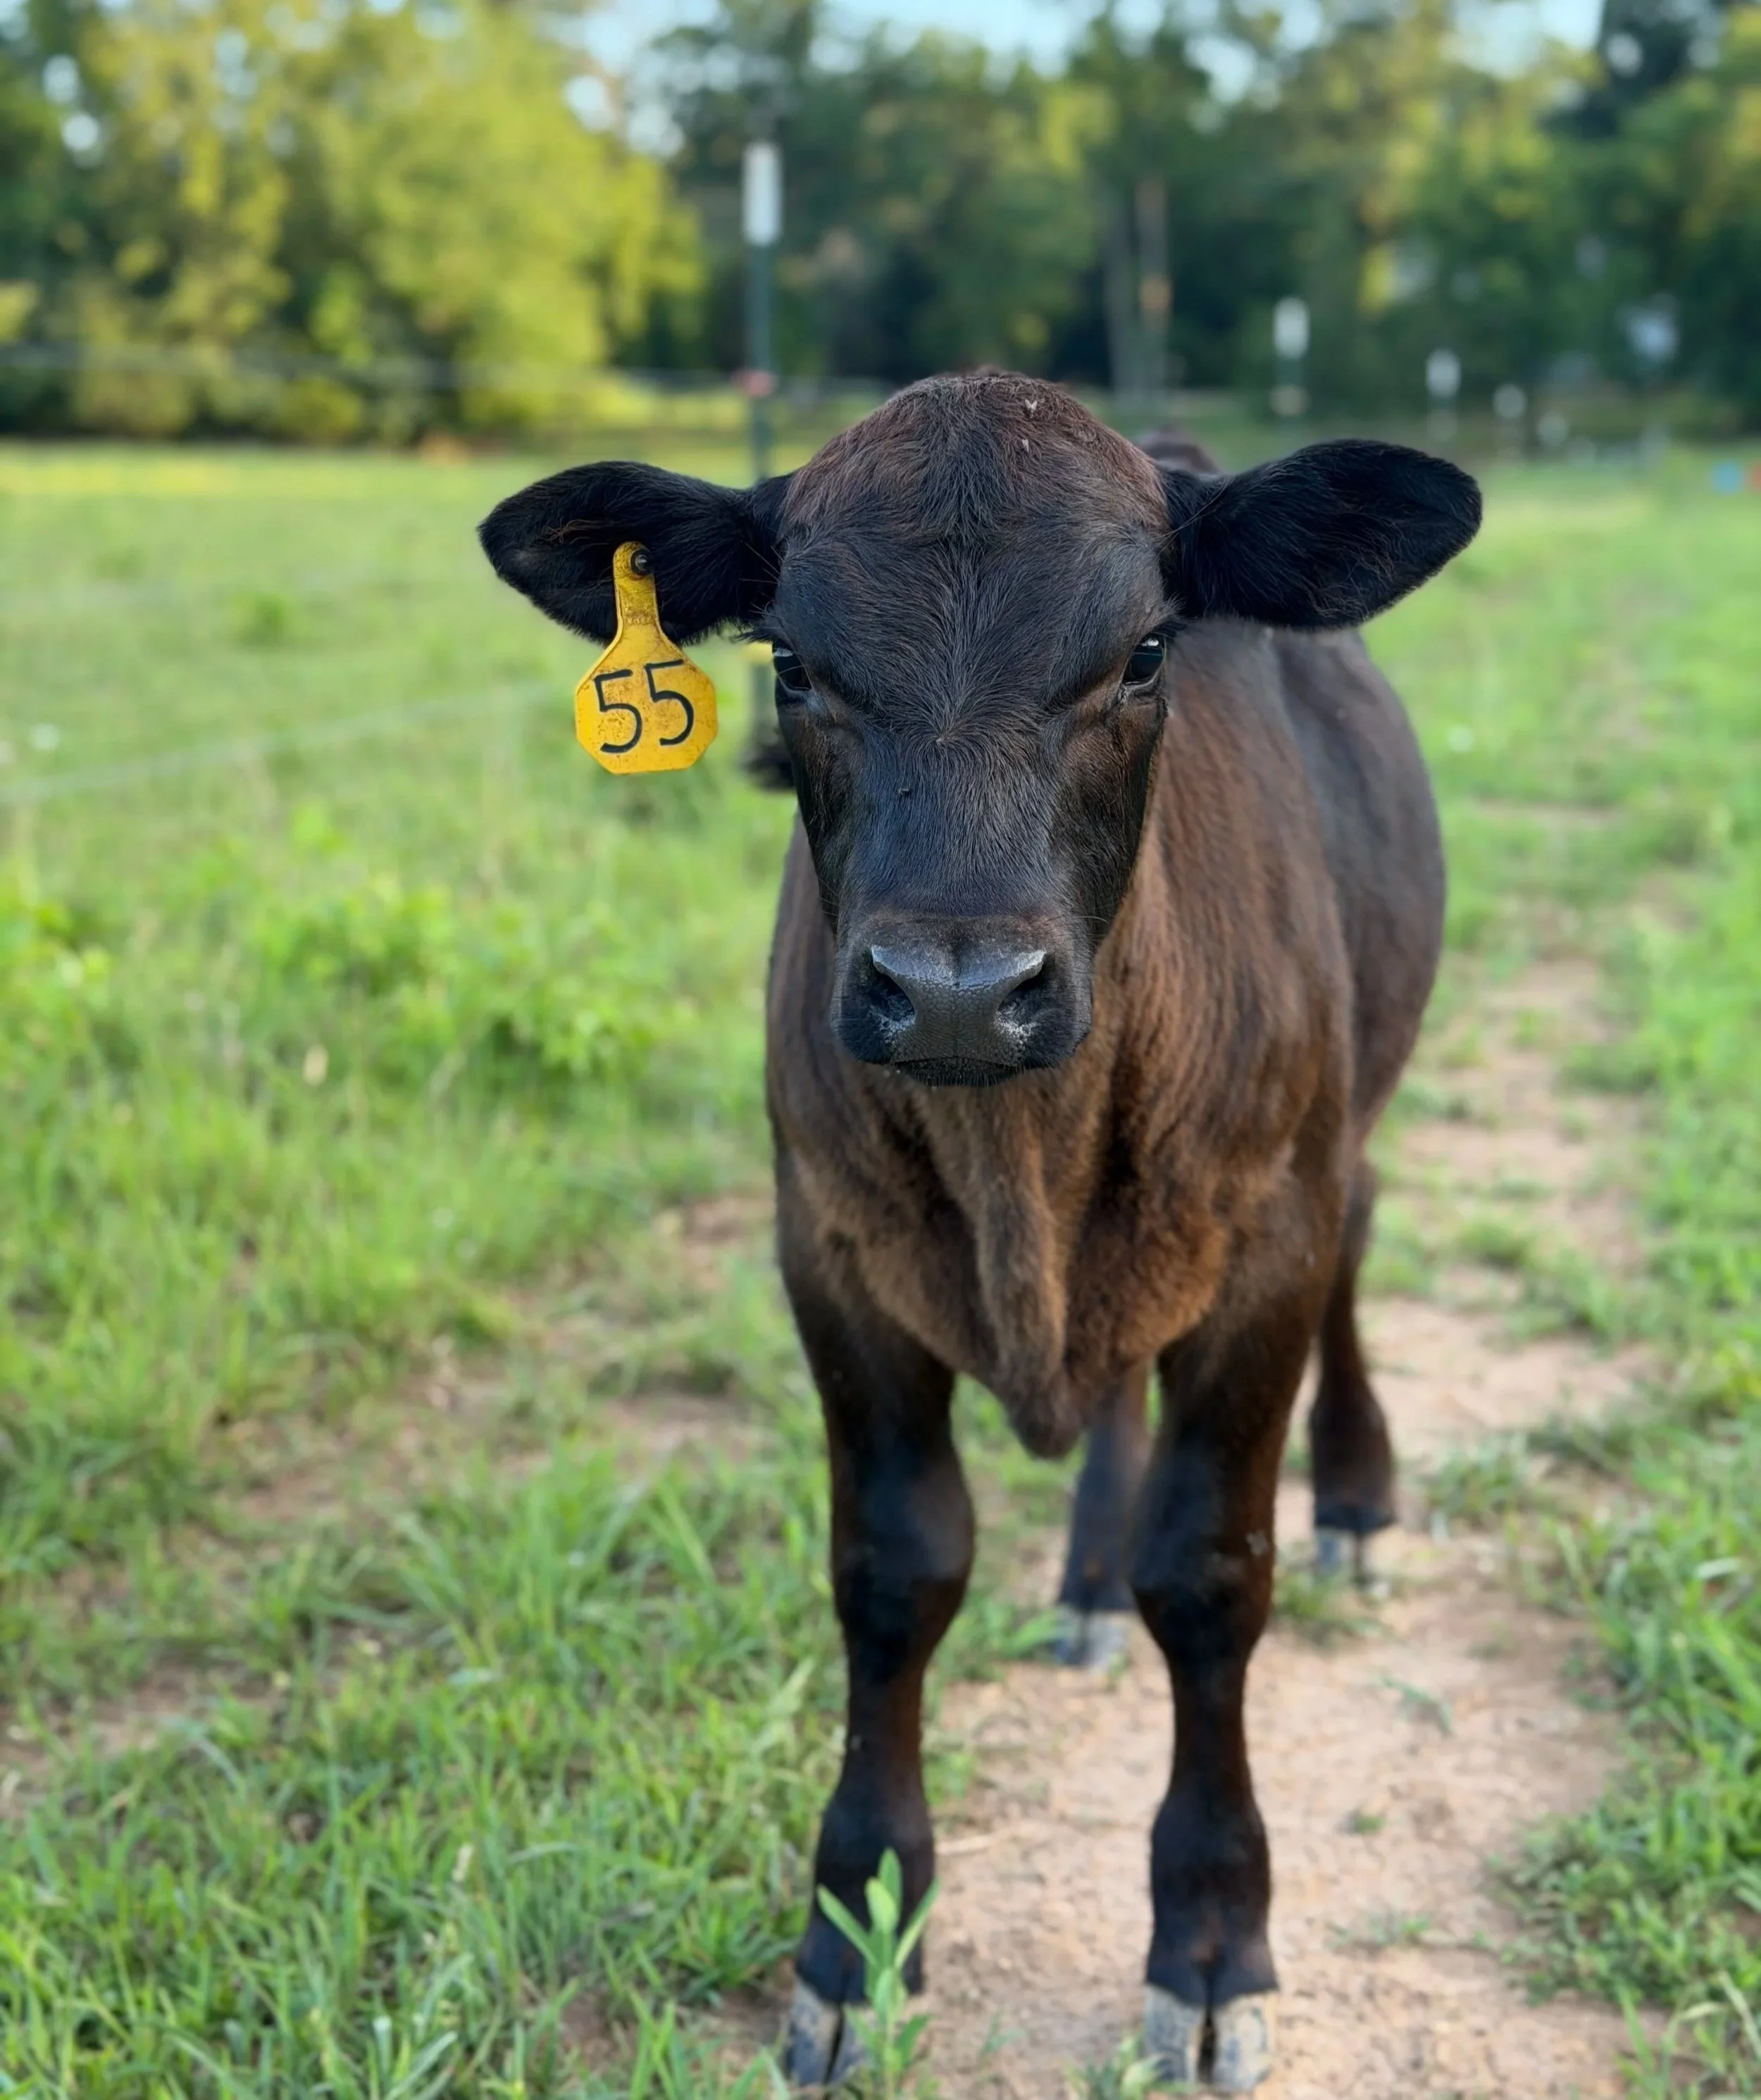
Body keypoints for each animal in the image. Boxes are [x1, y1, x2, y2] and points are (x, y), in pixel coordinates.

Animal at [478, 372, 1479, 2091]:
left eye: (1143, 651)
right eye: (792, 661)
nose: (955, 989)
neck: (1023, 1171)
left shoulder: (1262, 1245)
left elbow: (1211, 1576)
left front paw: (1209, 1943)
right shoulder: (830, 1252)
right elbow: (894, 1571)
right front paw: (857, 1936)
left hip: (1338, 1136)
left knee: (1360, 1234)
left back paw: (1354, 1496)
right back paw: (1082, 1580)